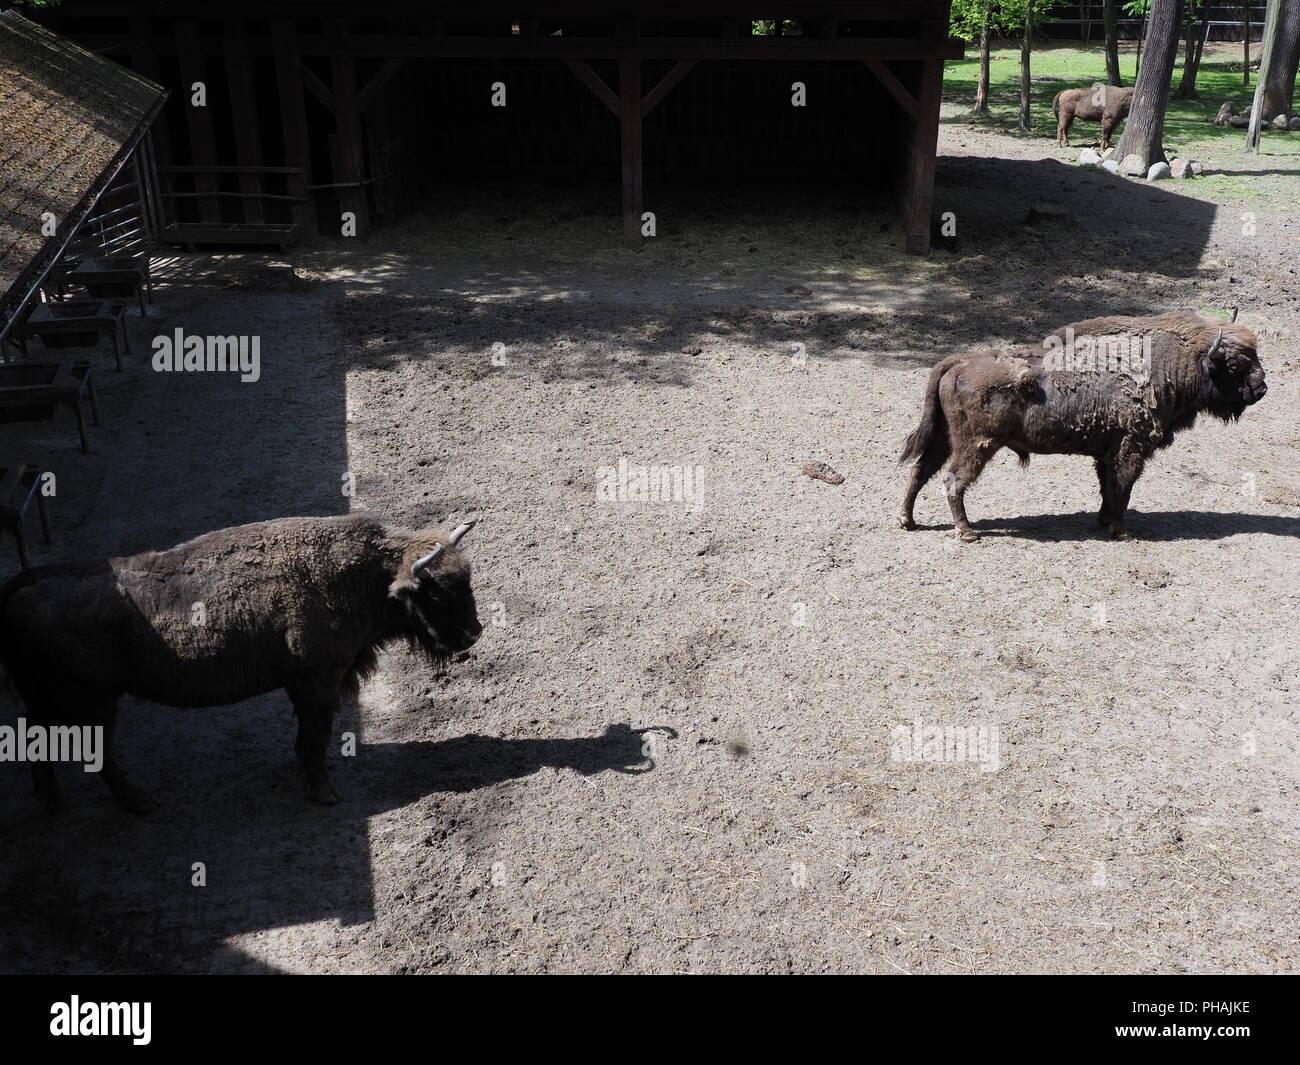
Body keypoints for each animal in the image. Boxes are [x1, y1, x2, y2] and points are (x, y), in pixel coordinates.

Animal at [0, 512, 483, 811]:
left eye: (468, 580)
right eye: (437, 593)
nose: (474, 633)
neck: (368, 575)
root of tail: (20, 588)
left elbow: (306, 737)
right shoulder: (317, 682)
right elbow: (317, 737)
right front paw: (324, 793)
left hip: (56, 702)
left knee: (40, 740)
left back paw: (55, 802)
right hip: (95, 703)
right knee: (97, 752)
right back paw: (140, 802)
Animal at [899, 308, 1263, 540]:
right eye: (1234, 365)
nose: (1262, 388)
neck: (1172, 363)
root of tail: (959, 361)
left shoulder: (1107, 451)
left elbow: (1108, 486)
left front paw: (1104, 520)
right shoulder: (1131, 448)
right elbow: (1123, 487)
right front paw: (1121, 531)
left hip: (943, 438)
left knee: (920, 472)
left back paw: (908, 521)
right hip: (977, 445)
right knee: (952, 480)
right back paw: (967, 532)